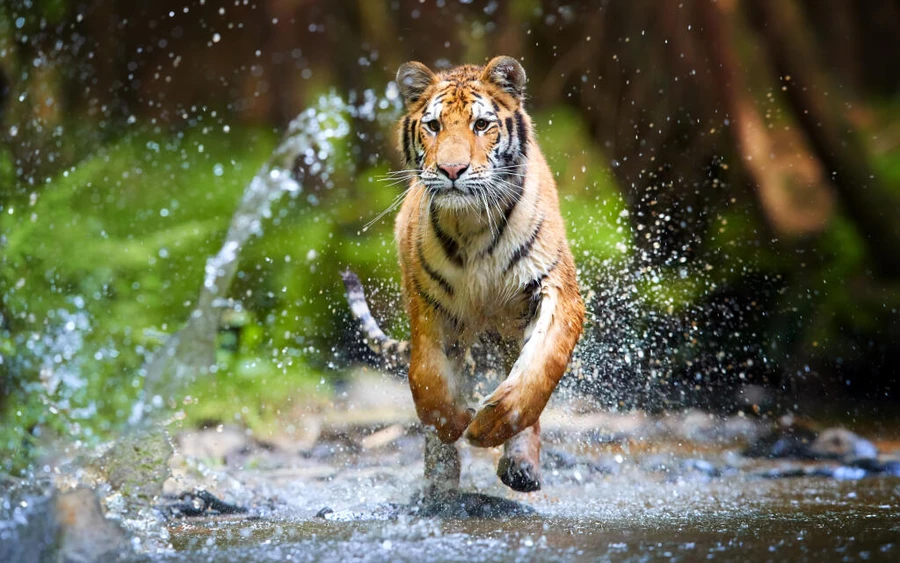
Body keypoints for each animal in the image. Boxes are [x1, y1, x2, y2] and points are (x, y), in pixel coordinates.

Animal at [342, 55, 584, 492]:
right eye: (434, 125)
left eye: (482, 125)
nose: (452, 169)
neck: (473, 224)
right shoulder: (428, 301)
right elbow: (427, 377)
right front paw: (453, 421)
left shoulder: (557, 290)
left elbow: (540, 369)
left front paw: (487, 427)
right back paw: (439, 488)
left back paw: (520, 467)